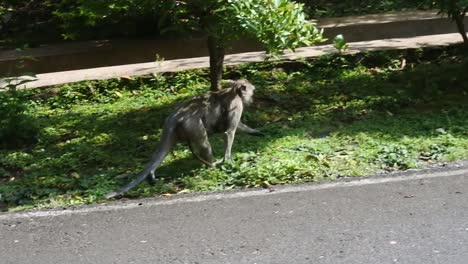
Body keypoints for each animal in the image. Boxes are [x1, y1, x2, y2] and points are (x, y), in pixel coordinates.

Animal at [103, 79, 262, 199]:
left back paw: (152, 174)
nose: (253, 98)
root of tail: (174, 116)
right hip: (192, 125)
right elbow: (229, 132)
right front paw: (227, 160)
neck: (234, 91)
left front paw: (257, 132)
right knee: (205, 144)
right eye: (252, 92)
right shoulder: (237, 105)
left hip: (180, 132)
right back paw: (211, 167)